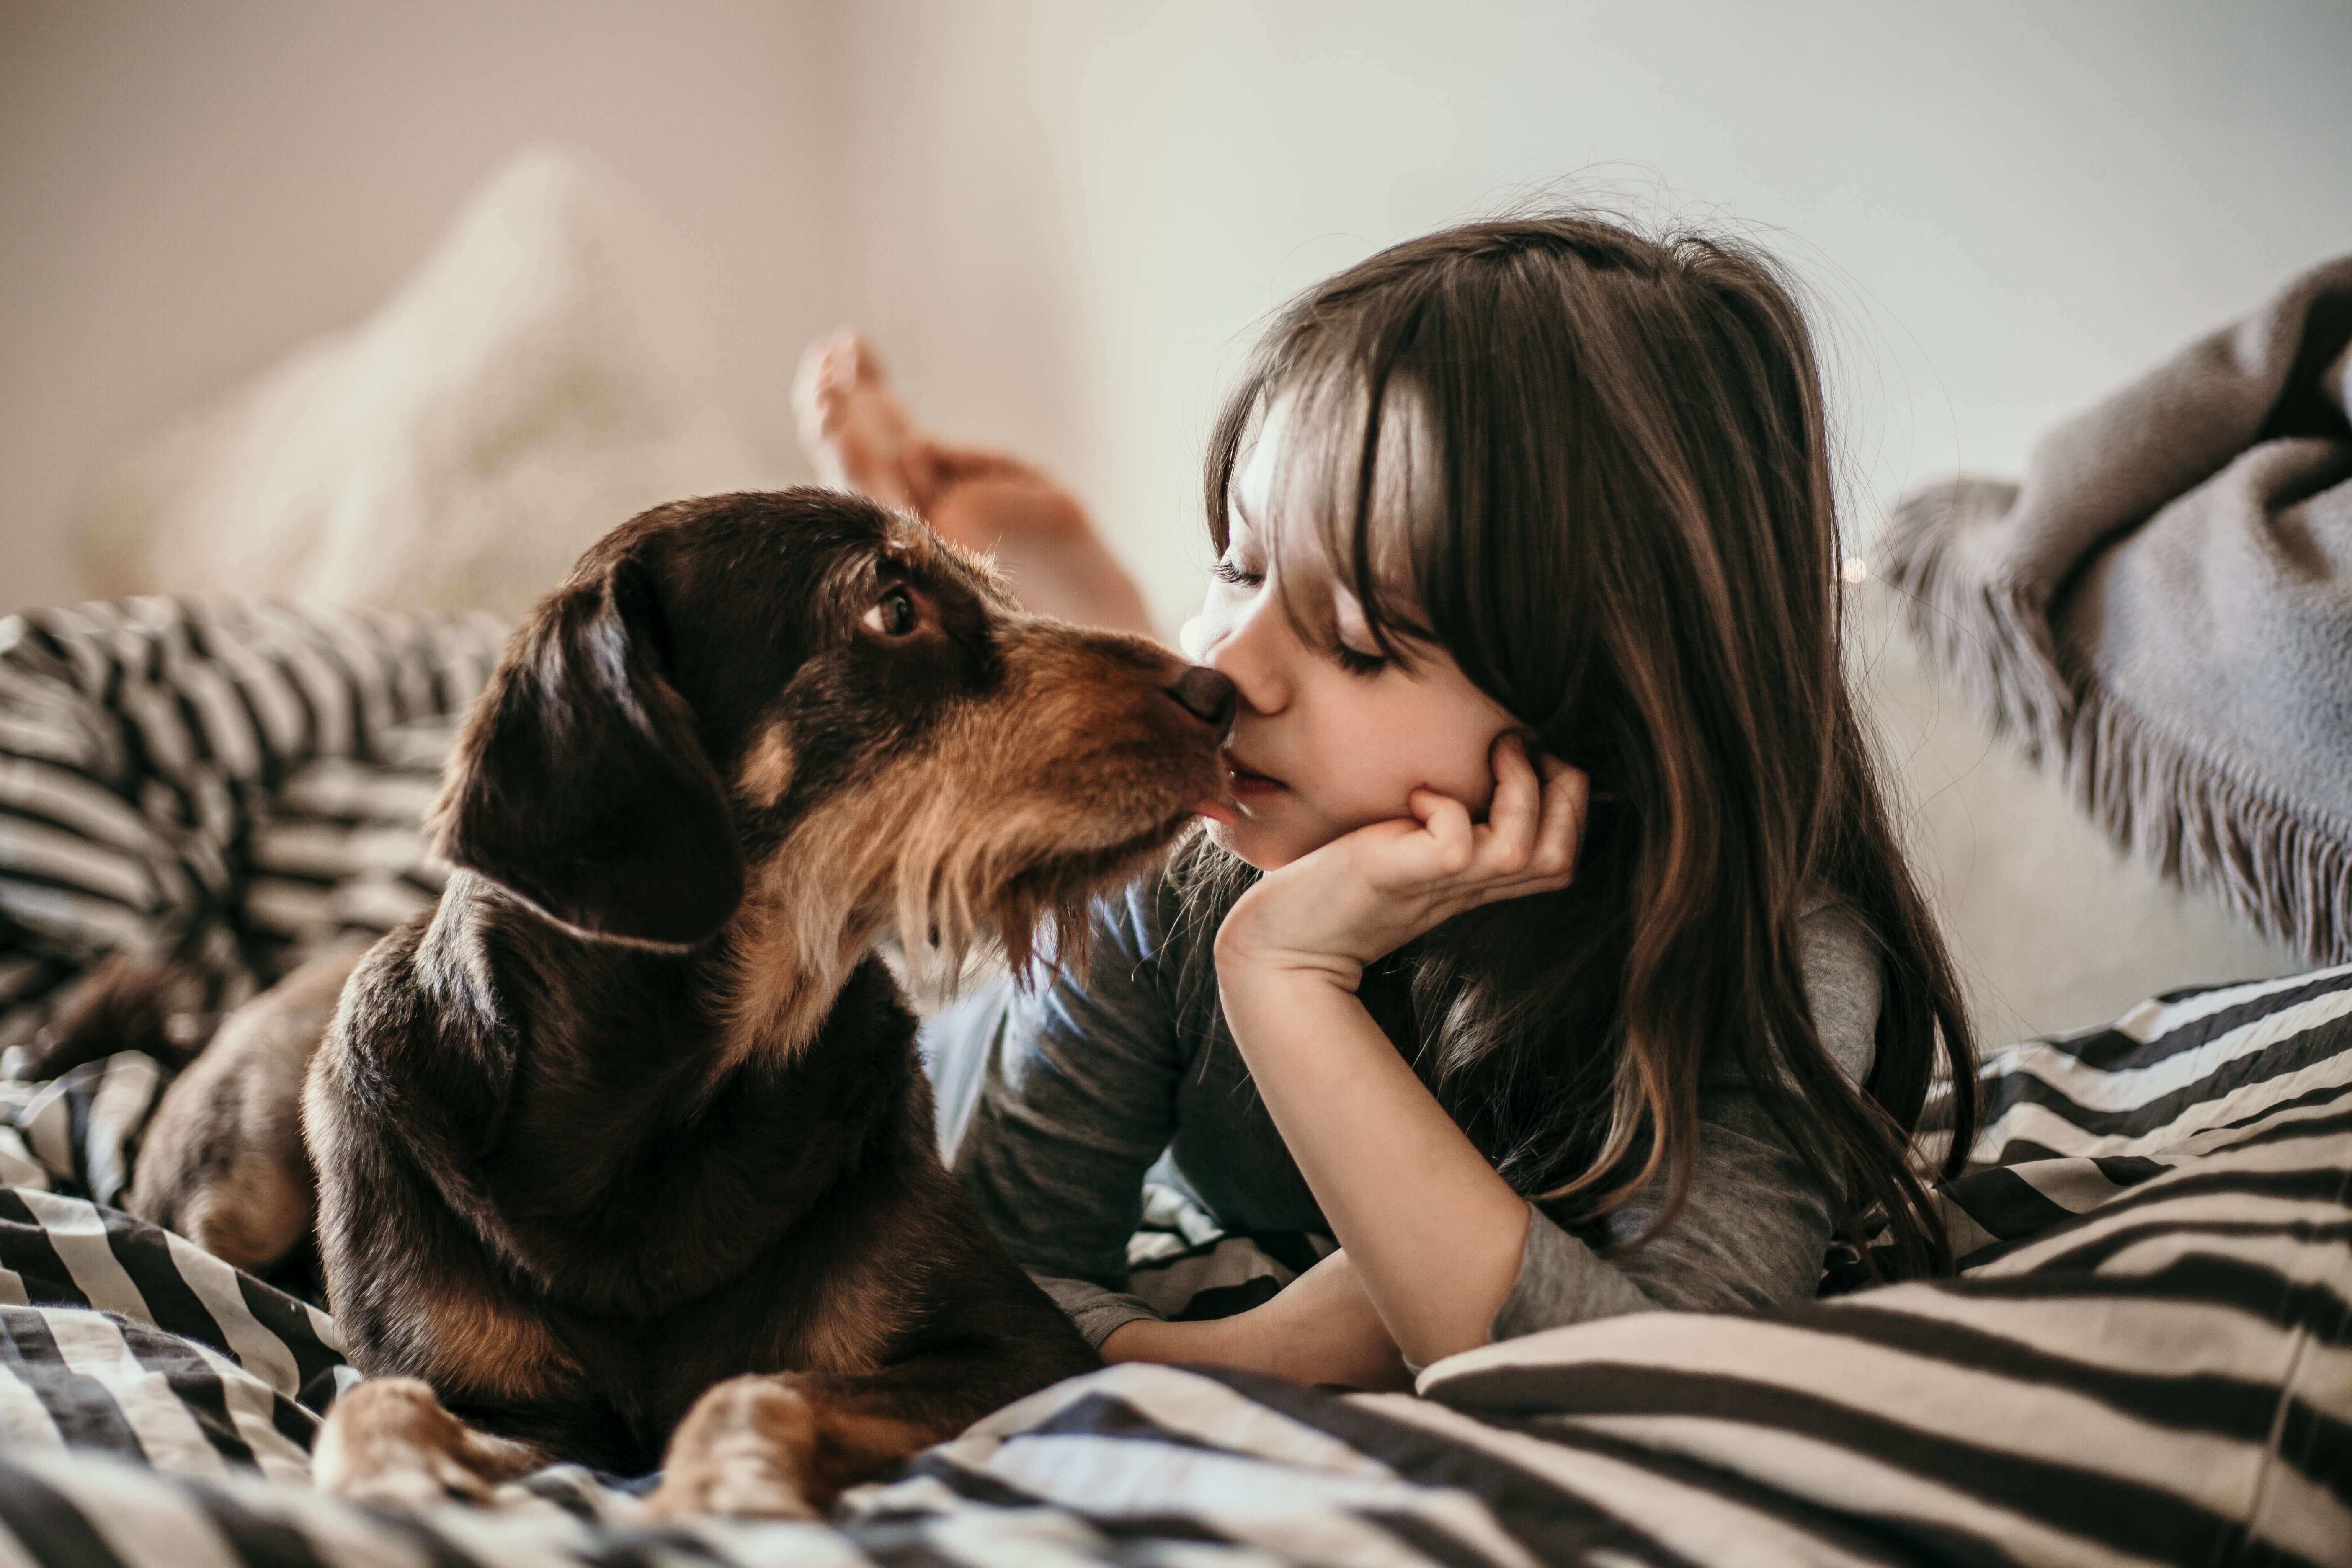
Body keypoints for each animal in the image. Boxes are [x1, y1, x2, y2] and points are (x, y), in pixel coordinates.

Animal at [299, 486, 1232, 1504]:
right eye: (893, 610)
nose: (1221, 697)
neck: (653, 1121)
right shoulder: (500, 1404)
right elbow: (370, 1411)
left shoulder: (1026, 1352)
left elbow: (760, 1387)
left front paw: (721, 1492)